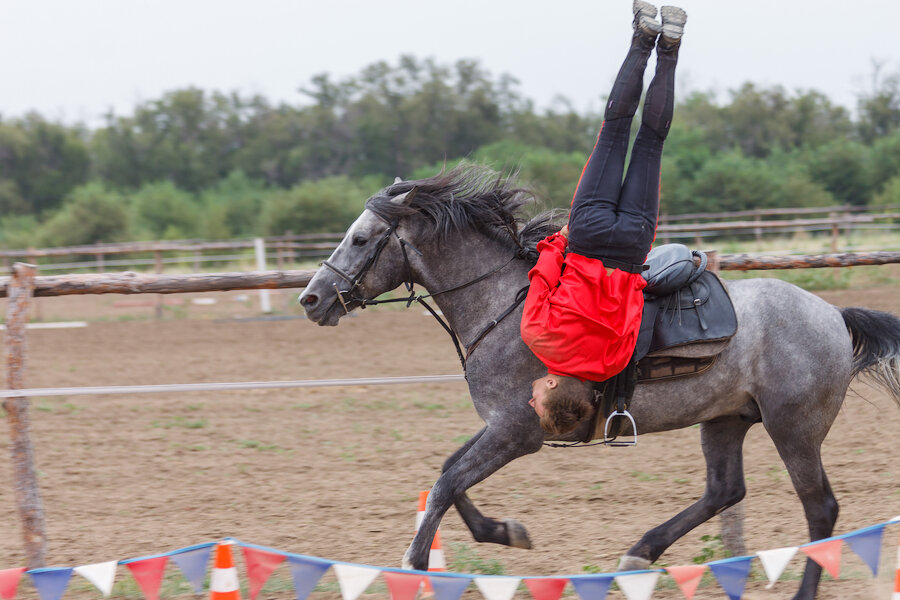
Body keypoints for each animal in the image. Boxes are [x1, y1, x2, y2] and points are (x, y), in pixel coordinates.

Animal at [298, 164, 900, 600]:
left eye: (360, 239)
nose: (311, 299)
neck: (508, 308)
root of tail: (833, 314)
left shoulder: (518, 433)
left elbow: (447, 483)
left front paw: (415, 563)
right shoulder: (502, 426)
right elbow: (449, 473)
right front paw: (504, 532)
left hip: (793, 427)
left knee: (820, 510)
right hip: (725, 419)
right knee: (725, 490)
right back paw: (640, 553)